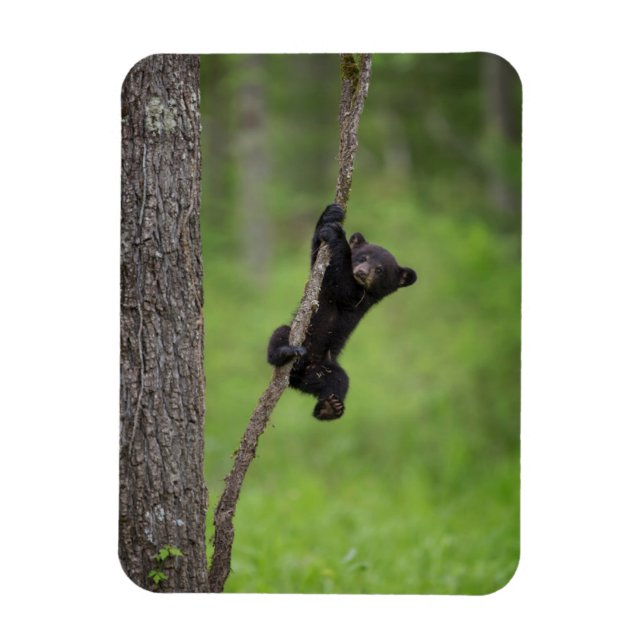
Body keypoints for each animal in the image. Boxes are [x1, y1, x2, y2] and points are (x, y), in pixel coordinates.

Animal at [267, 203, 417, 420]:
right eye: (362, 257)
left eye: (380, 269)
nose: (362, 272)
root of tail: (298, 378)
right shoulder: (322, 280)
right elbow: (317, 256)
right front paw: (330, 215)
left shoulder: (360, 299)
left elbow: (343, 285)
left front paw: (338, 235)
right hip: (297, 338)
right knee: (280, 335)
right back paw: (286, 351)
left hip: (326, 366)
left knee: (339, 380)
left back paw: (329, 407)